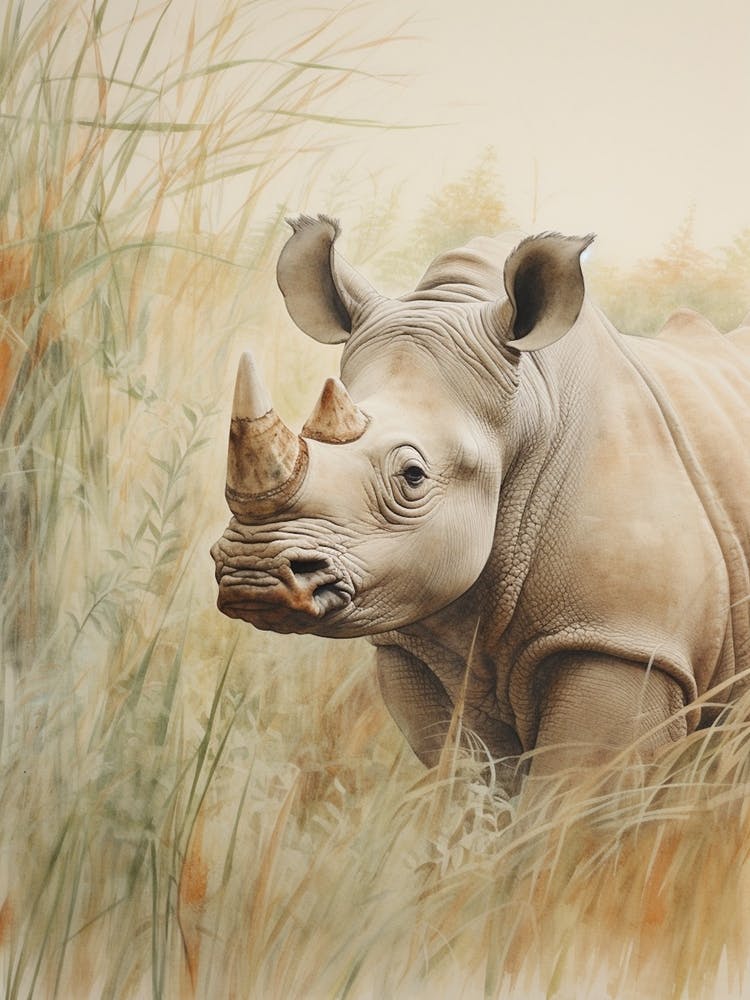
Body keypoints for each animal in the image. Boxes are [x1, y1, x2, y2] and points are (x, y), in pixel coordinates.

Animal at [211, 215, 750, 788]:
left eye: (413, 476)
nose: (252, 573)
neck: (530, 407)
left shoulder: (624, 641)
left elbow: (567, 795)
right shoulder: (422, 649)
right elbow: (469, 780)